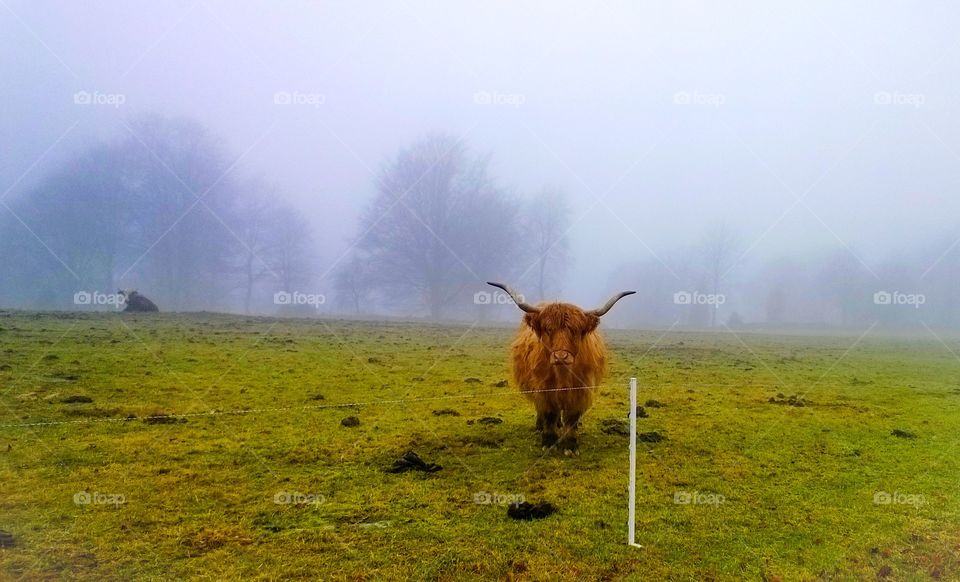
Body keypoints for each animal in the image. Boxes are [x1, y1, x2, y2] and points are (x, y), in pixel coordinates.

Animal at [488, 282, 636, 456]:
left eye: (575, 330)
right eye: (548, 329)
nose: (561, 357)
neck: (563, 376)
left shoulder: (581, 390)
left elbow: (571, 418)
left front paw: (570, 445)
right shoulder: (543, 389)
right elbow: (549, 414)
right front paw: (549, 442)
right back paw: (541, 426)